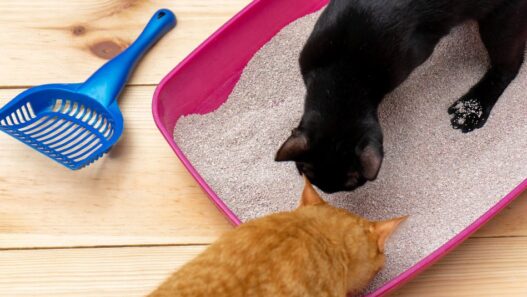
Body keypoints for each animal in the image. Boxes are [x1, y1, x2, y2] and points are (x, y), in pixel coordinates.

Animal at [276, 0, 527, 192]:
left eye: (351, 185)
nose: (326, 192)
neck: (343, 75)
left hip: (501, 22)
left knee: (508, 67)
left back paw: (472, 108)